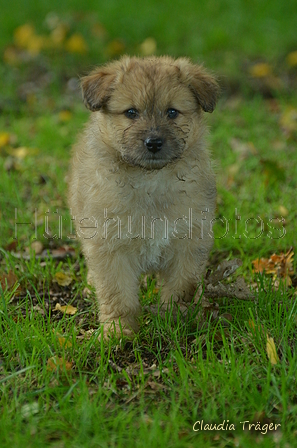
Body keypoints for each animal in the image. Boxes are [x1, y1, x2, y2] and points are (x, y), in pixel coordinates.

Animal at [68, 55, 219, 336]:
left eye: (172, 112)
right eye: (131, 112)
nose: (153, 142)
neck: (150, 179)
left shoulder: (189, 241)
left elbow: (181, 287)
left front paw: (176, 321)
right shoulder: (110, 246)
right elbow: (117, 295)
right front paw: (119, 331)